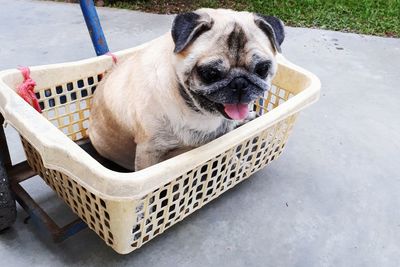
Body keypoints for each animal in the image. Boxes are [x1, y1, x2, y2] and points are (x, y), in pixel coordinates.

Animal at [89, 8, 286, 172]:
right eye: (210, 73)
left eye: (262, 69)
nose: (239, 83)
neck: (195, 109)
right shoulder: (149, 151)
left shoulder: (225, 137)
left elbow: (228, 156)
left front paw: (237, 166)